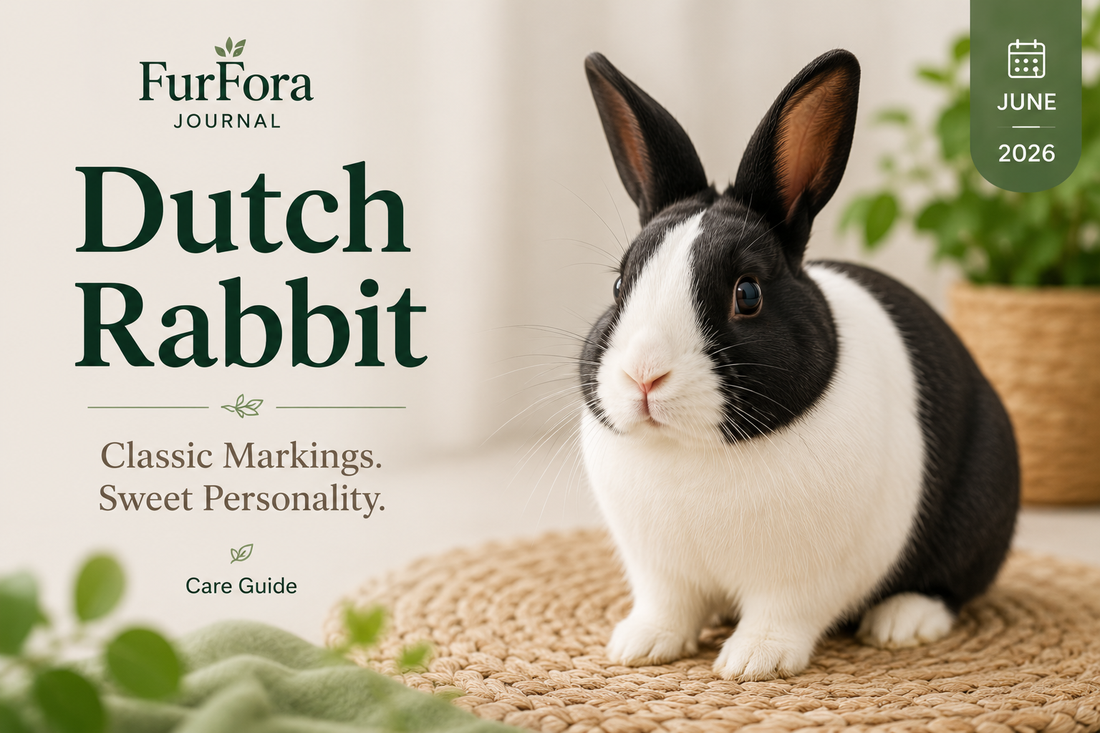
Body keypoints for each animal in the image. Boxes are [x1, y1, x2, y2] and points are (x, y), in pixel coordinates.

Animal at [579, 49, 1019, 682]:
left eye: (748, 295)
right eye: (619, 285)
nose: (644, 376)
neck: (691, 452)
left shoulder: (802, 580)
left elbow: (781, 615)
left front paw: (751, 662)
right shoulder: (660, 570)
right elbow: (669, 607)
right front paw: (639, 646)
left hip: (978, 510)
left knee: (952, 585)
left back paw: (902, 622)